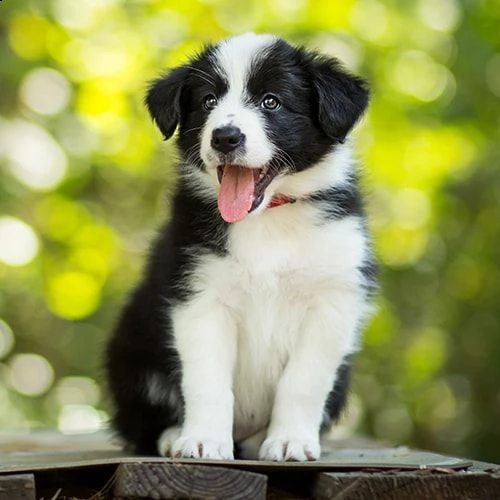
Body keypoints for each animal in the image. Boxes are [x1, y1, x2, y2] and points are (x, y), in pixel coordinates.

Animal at [106, 31, 378, 460]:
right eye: (207, 101)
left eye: (271, 101)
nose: (225, 136)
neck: (267, 221)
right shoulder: (200, 294)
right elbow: (208, 380)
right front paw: (203, 440)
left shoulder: (332, 299)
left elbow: (303, 381)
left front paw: (289, 441)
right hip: (131, 348)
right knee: (141, 422)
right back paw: (172, 435)